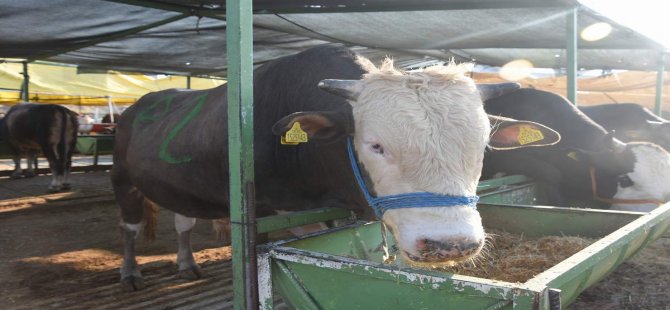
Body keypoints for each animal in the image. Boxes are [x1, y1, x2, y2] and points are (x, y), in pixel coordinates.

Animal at [111, 44, 560, 290]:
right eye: (375, 145)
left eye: (482, 145)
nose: (451, 244)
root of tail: (140, 106)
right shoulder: (275, 215)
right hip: (122, 180)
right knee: (129, 228)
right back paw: (130, 273)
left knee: (182, 221)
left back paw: (187, 264)